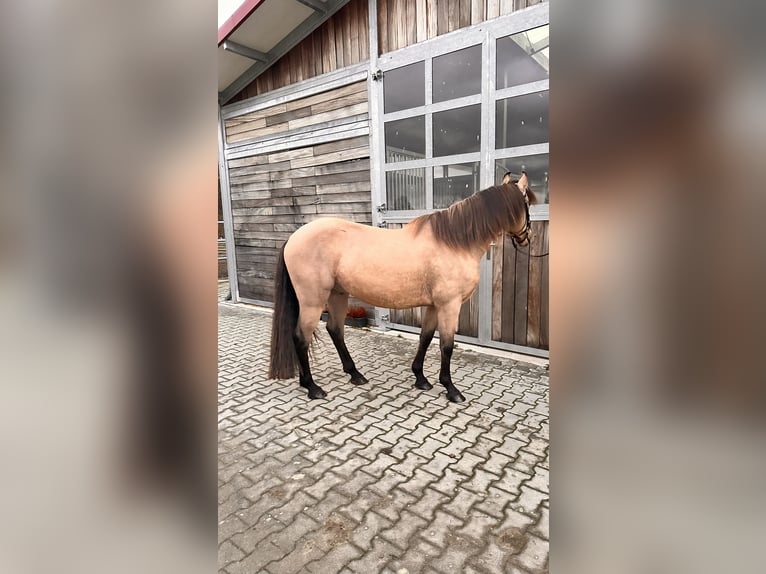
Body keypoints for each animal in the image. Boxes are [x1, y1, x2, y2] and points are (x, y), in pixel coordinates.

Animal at [268, 173, 536, 403]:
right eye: (527, 204)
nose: (528, 238)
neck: (454, 243)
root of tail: (294, 238)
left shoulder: (434, 305)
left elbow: (425, 338)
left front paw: (421, 378)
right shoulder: (449, 305)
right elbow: (447, 346)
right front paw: (451, 389)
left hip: (337, 295)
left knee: (335, 330)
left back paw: (355, 375)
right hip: (313, 301)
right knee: (301, 337)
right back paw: (312, 387)